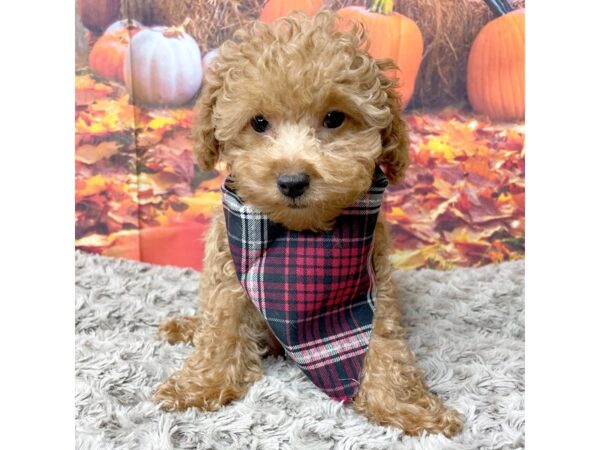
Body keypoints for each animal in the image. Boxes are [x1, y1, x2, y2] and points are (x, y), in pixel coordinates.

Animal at [154, 12, 460, 438]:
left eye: (334, 118)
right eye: (258, 123)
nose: (293, 180)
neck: (298, 234)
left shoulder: (375, 287)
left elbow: (383, 342)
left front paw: (406, 406)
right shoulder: (227, 270)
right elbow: (220, 326)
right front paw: (202, 384)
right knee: (205, 321)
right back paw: (186, 326)